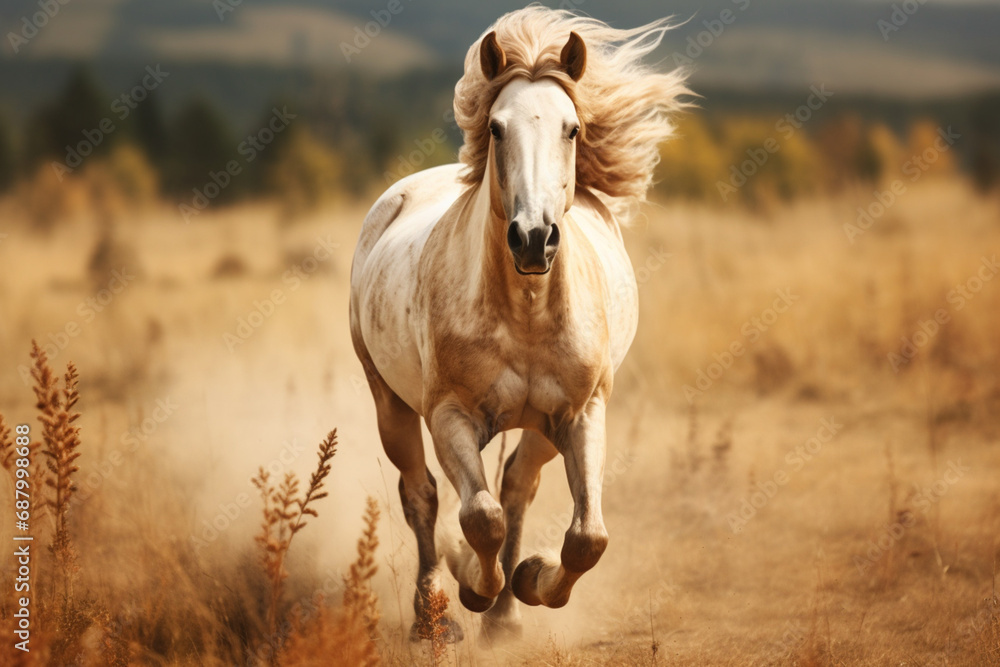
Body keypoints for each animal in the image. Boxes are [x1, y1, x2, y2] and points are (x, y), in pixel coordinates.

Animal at [349, 6, 689, 643]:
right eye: (498, 128)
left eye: (572, 129)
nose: (534, 238)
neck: (526, 314)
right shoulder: (449, 415)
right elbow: (480, 517)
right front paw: (473, 590)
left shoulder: (581, 414)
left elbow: (586, 537)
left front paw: (527, 582)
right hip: (390, 401)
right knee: (423, 495)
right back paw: (434, 617)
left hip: (538, 429)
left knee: (516, 489)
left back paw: (506, 614)